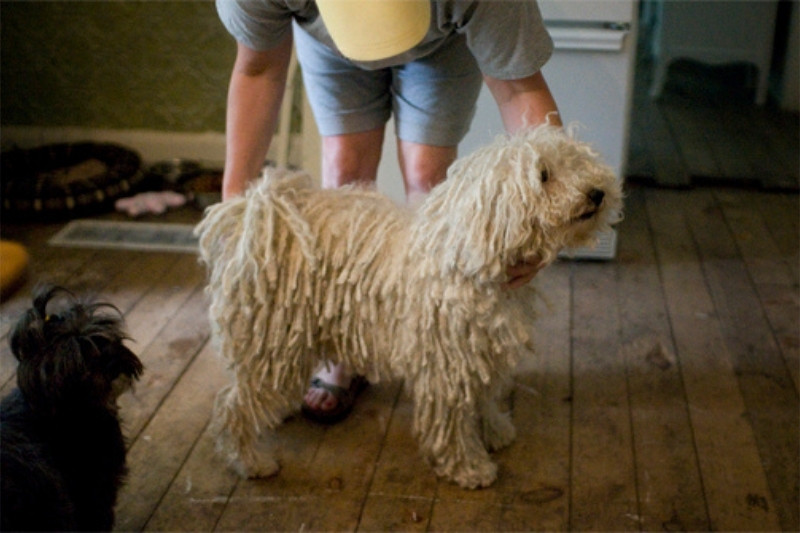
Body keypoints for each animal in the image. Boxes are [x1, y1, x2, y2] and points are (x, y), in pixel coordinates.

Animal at [197, 123, 620, 486]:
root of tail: (255, 216)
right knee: (233, 408)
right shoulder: (447, 365)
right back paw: (251, 461)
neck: (468, 253)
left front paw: (495, 429)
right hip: (273, 334)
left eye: (577, 161)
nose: (597, 193)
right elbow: (452, 421)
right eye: (544, 175)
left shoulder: (482, 351)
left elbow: (483, 396)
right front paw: (470, 467)